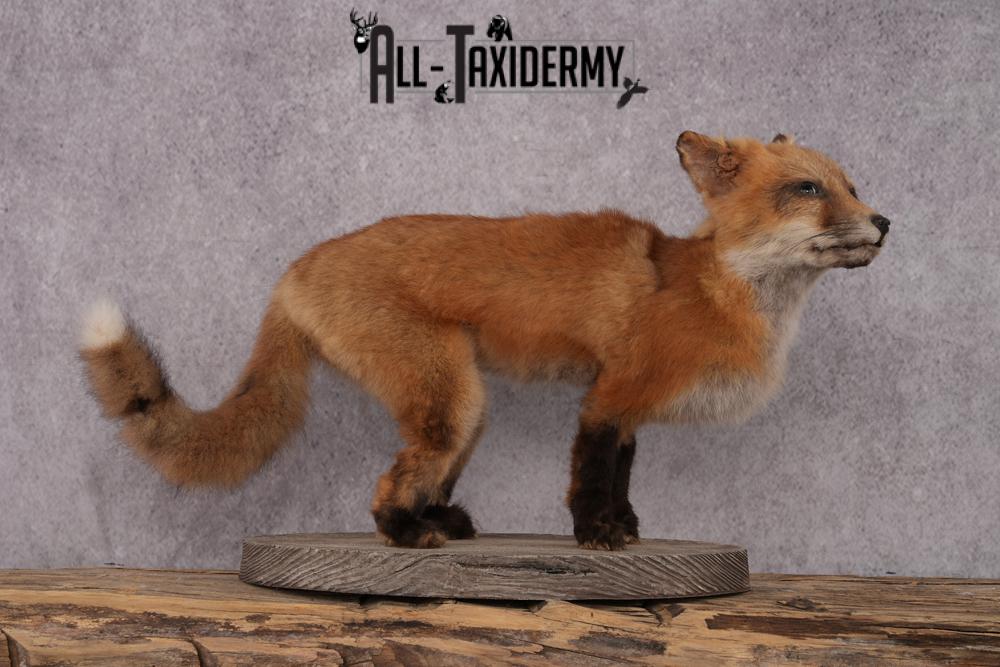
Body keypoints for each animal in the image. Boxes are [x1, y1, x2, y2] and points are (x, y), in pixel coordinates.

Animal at [80, 131, 890, 551]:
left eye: (851, 185)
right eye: (809, 190)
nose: (885, 222)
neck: (712, 287)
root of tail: (299, 267)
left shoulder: (626, 408)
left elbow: (624, 475)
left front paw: (626, 528)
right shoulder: (610, 396)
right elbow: (591, 477)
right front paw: (596, 536)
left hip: (465, 407)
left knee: (427, 475)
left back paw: (441, 520)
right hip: (453, 401)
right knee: (388, 485)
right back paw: (408, 534)